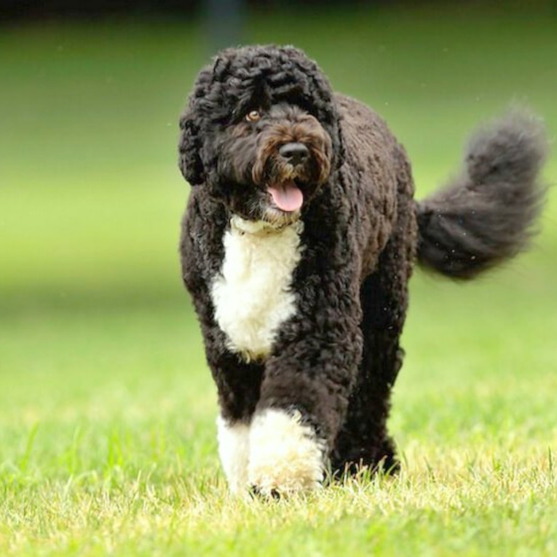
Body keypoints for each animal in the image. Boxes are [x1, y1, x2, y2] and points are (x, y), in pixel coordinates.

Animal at [179, 44, 548, 496]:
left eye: (308, 109)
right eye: (251, 112)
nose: (297, 150)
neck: (262, 232)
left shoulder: (319, 328)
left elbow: (292, 409)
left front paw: (282, 479)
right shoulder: (231, 341)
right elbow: (242, 423)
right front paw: (250, 482)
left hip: (380, 310)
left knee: (369, 389)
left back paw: (365, 463)